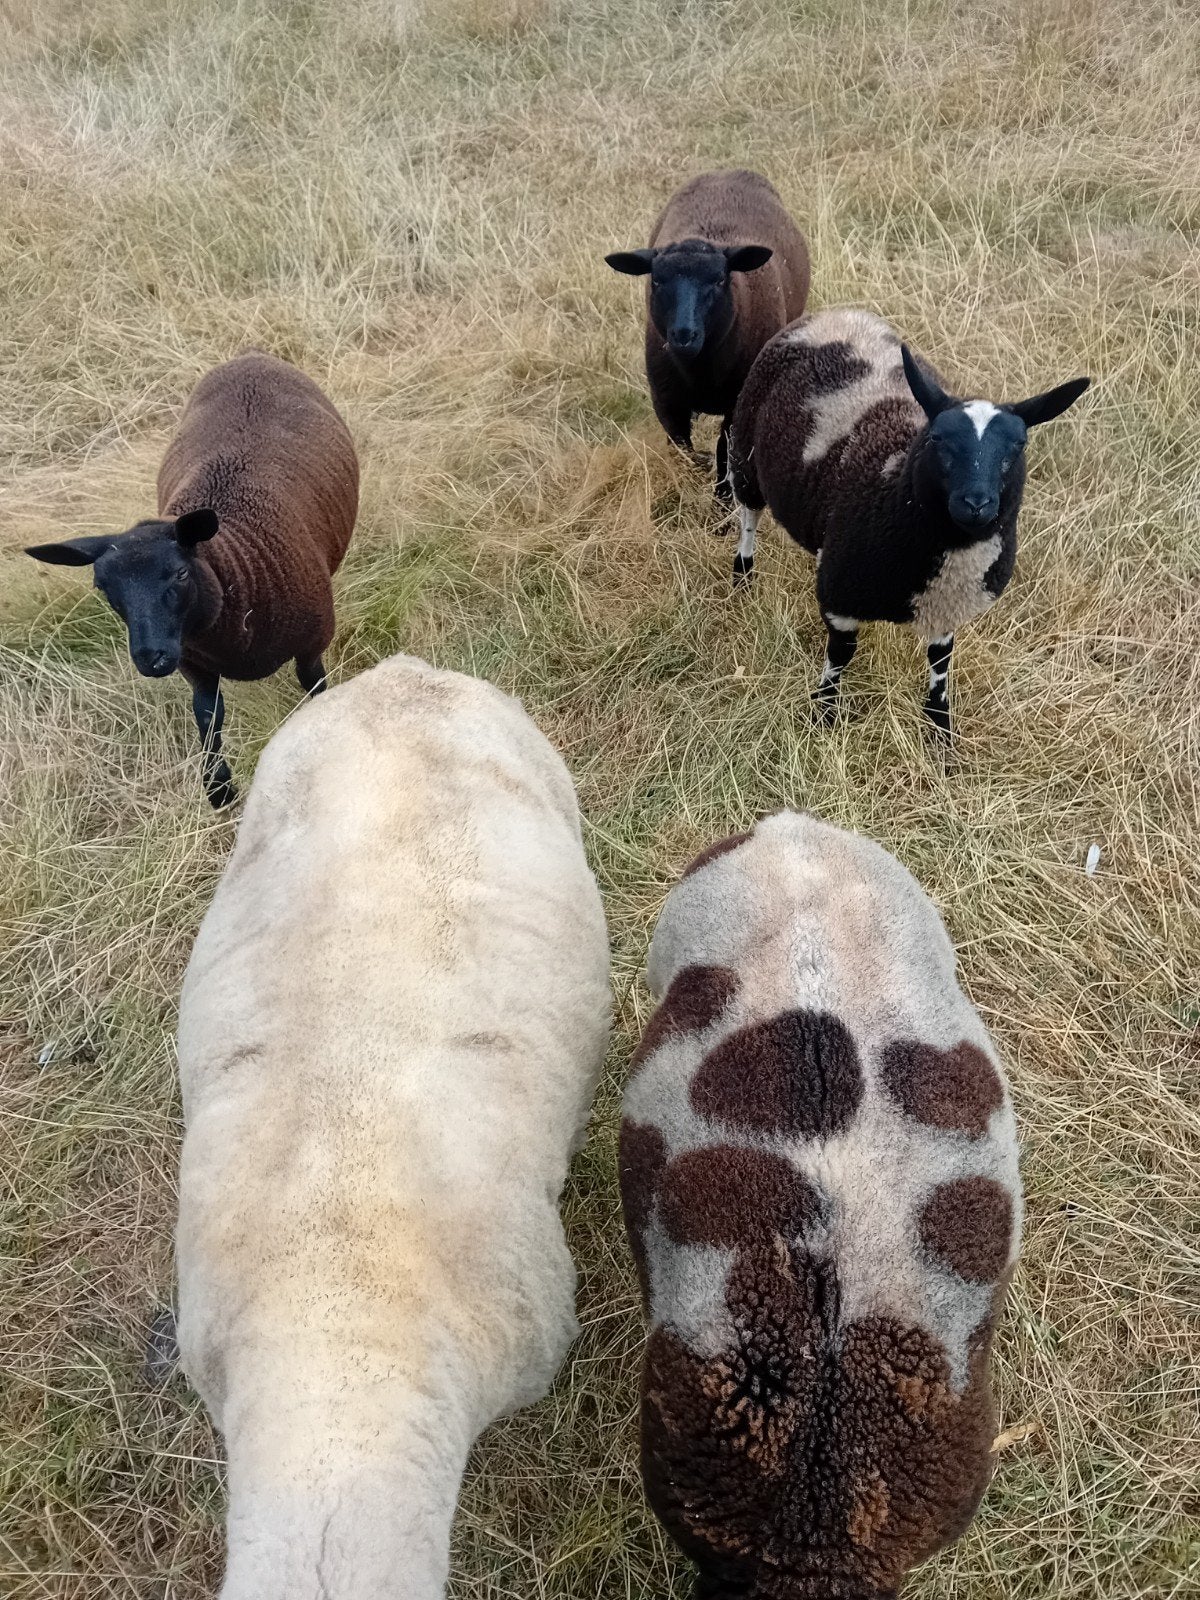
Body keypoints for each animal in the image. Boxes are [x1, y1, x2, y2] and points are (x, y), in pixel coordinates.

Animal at [24, 351, 359, 806]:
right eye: (103, 588)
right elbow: (207, 714)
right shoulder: (193, 663)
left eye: (181, 572)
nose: (151, 658)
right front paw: (219, 788)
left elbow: (315, 690)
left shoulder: (312, 643)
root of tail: (252, 356)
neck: (234, 564)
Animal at [605, 169, 810, 501]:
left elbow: (725, 452)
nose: (683, 334)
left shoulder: (738, 405)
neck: (700, 369)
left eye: (718, 280)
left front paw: (722, 505)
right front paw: (684, 486)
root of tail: (729, 171)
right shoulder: (667, 401)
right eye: (657, 281)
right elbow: (680, 448)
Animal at [728, 308, 1090, 734]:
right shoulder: (839, 596)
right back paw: (743, 574)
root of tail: (840, 313)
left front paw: (940, 728)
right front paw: (825, 713)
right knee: (749, 516)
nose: (976, 504)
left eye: (1019, 445)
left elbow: (941, 662)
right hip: (746, 449)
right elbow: (840, 655)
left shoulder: (947, 606)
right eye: (937, 439)